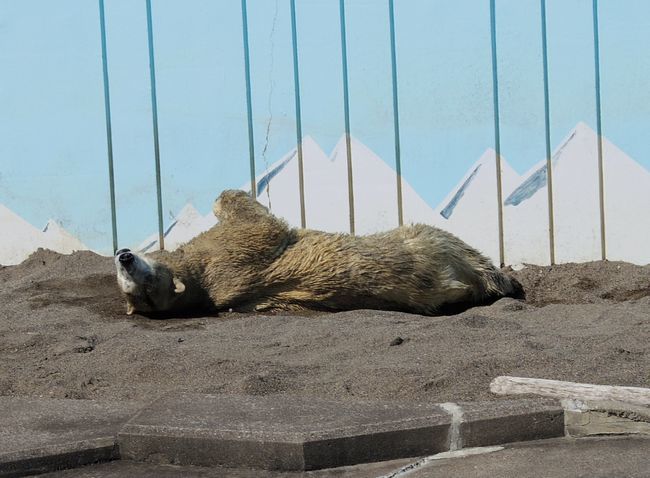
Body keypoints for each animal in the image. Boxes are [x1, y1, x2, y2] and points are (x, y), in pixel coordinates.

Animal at [115, 190, 520, 318]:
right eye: (138, 283)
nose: (124, 257)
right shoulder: (233, 249)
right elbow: (260, 223)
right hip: (422, 249)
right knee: (443, 240)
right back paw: (502, 280)